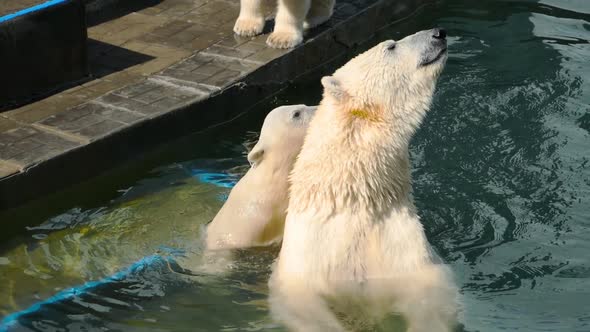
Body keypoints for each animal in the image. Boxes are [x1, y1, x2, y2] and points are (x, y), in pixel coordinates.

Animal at [270, 28, 462, 332]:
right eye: (391, 46)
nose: (438, 33)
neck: (354, 201)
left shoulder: (404, 251)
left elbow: (431, 296)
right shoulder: (309, 260)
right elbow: (303, 306)